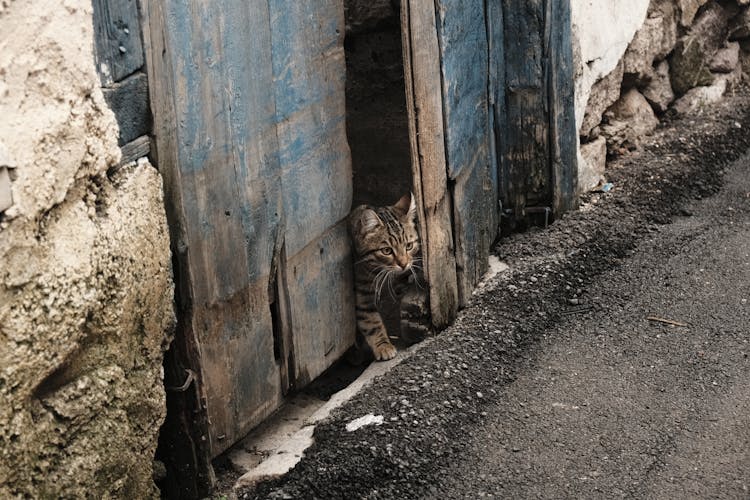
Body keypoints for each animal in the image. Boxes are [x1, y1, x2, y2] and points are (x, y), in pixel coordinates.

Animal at [350, 193, 432, 362]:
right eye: (386, 251)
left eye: (409, 246)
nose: (403, 264)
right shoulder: (362, 294)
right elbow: (371, 321)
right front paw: (383, 346)